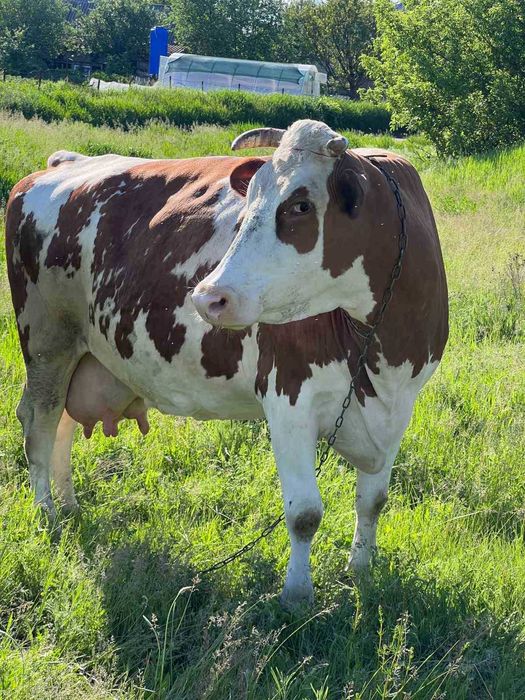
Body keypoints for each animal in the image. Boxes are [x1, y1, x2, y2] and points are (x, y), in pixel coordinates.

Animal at [6, 119, 448, 608]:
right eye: (250, 197)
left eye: (300, 204)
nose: (206, 297)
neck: (381, 347)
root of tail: (61, 164)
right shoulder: (289, 397)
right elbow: (305, 514)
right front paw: (297, 595)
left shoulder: (400, 404)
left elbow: (374, 500)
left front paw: (362, 571)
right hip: (48, 342)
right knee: (40, 423)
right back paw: (47, 513)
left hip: (84, 351)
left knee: (63, 423)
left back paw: (68, 504)